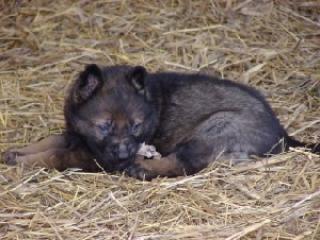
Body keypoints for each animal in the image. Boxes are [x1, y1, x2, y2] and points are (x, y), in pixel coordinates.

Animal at [3, 64, 320, 179]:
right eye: (104, 125)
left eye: (136, 125)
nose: (122, 154)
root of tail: (284, 135)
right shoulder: (77, 136)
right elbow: (50, 140)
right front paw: (15, 152)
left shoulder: (92, 156)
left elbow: (56, 154)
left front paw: (23, 161)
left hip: (214, 129)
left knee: (183, 164)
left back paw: (140, 167)